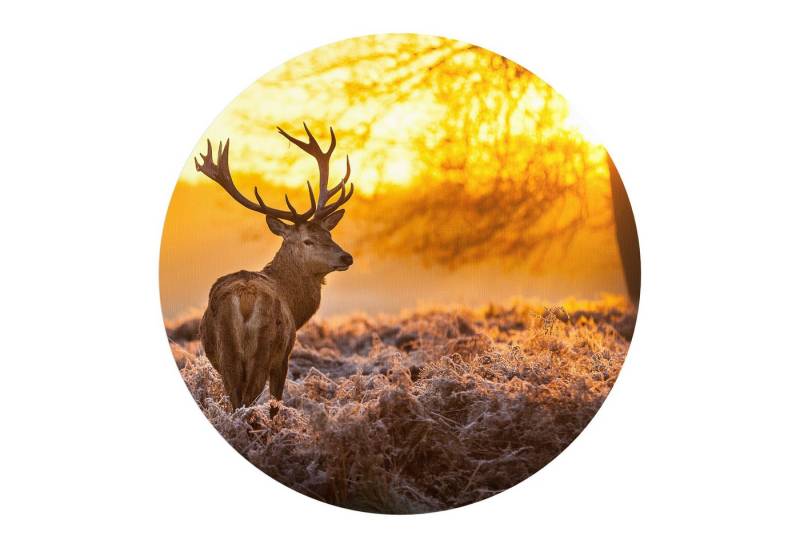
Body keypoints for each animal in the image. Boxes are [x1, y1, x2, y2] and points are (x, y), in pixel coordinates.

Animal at [194, 123, 354, 416]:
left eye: (329, 233)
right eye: (308, 240)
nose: (346, 257)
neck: (294, 304)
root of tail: (245, 299)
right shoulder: (284, 357)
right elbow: (276, 403)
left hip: (227, 356)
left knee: (235, 402)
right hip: (264, 351)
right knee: (247, 401)